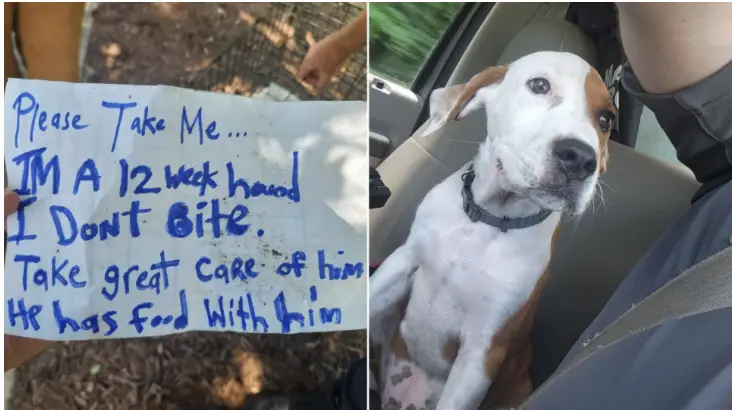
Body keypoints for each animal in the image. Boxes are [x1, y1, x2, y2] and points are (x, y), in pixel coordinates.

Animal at [368, 51, 616, 410]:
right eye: (539, 85)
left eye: (607, 119)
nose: (581, 158)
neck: (488, 218)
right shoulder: (401, 262)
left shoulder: (483, 352)